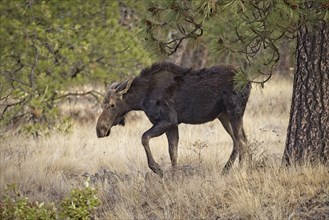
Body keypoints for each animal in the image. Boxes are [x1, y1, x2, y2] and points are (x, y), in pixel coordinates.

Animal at [96, 62, 250, 177]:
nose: (100, 129)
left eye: (112, 105)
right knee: (240, 140)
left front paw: (157, 169)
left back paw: (240, 171)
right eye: (102, 105)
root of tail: (248, 82)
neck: (141, 100)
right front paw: (174, 177)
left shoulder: (168, 120)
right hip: (223, 115)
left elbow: (144, 137)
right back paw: (229, 170)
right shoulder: (173, 125)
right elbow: (173, 152)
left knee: (241, 141)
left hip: (234, 111)